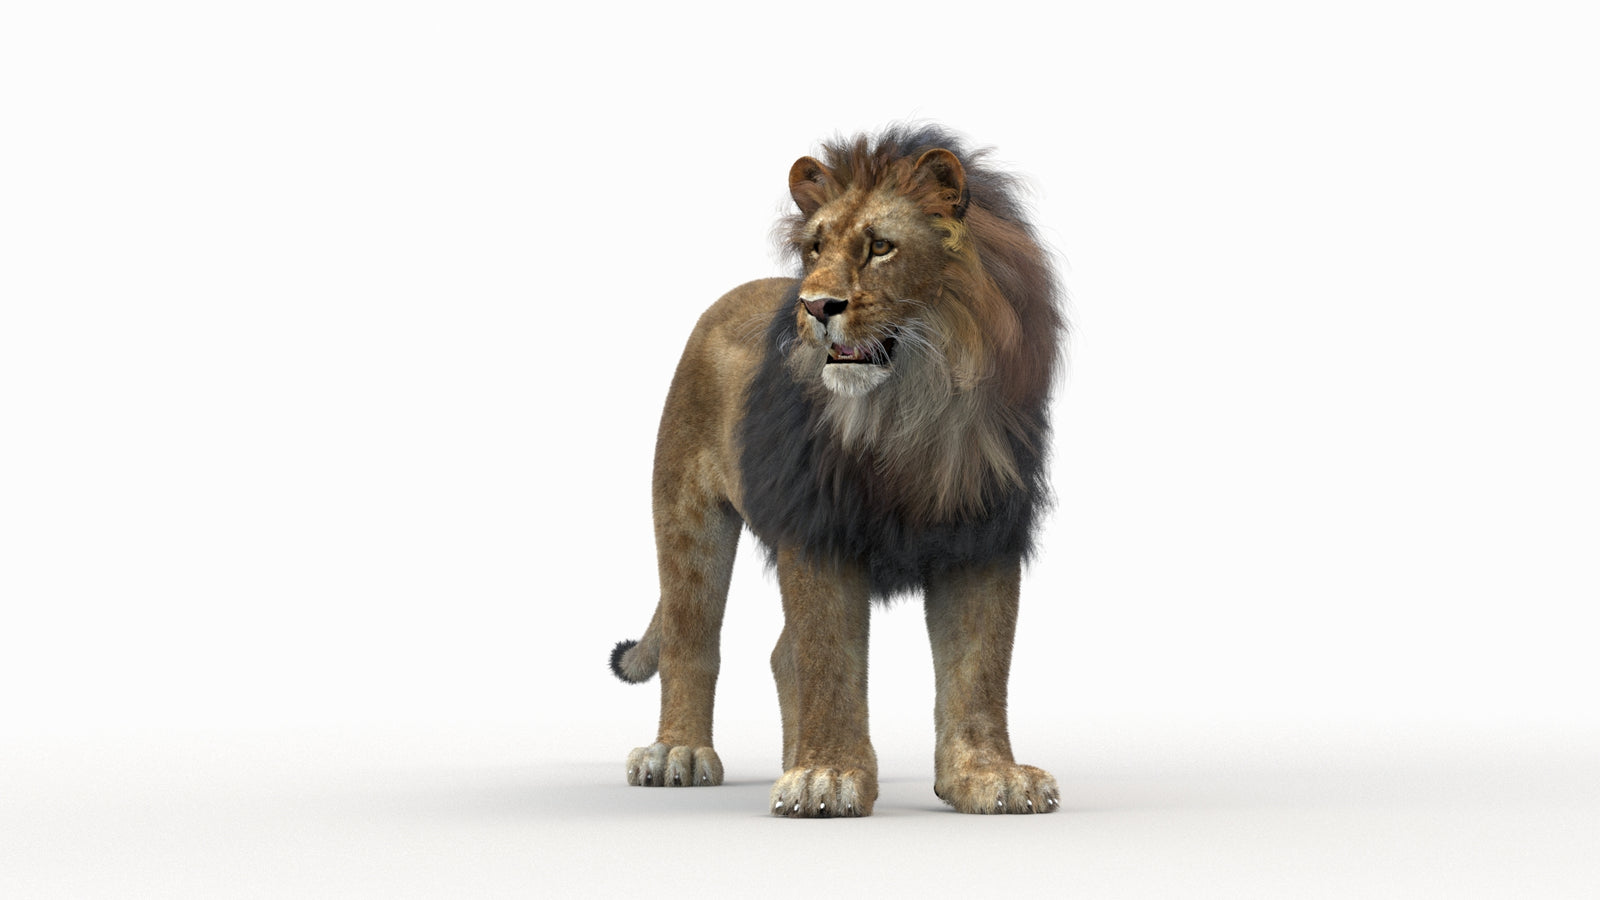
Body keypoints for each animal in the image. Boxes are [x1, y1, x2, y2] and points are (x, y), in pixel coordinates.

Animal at [609, 125, 1065, 816]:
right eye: (815, 247)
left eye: (880, 246)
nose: (815, 306)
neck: (908, 411)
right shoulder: (817, 525)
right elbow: (829, 657)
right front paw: (826, 775)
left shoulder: (982, 530)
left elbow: (980, 666)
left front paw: (989, 777)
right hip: (686, 508)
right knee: (693, 634)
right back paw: (678, 753)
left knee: (780, 655)